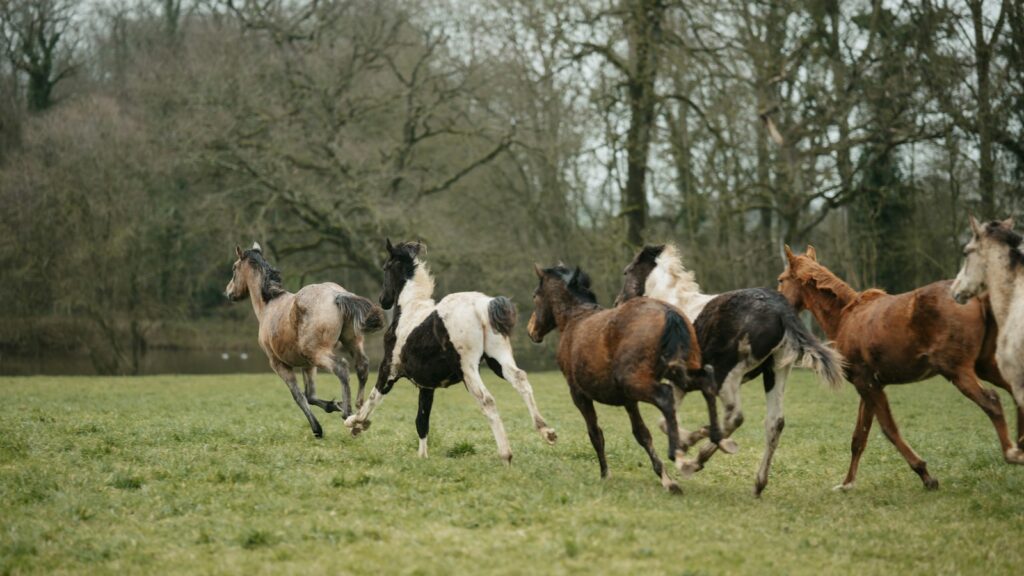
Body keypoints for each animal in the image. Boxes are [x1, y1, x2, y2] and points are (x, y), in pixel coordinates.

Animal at [225, 242, 384, 438]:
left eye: (234, 268)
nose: (229, 292)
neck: (269, 305)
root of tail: (336, 295)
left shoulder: (278, 364)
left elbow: (299, 396)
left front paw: (317, 428)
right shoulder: (308, 365)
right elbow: (310, 395)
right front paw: (333, 405)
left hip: (318, 353)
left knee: (341, 368)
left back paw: (348, 414)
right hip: (351, 342)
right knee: (362, 367)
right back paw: (359, 412)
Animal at [344, 239, 556, 463]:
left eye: (386, 267)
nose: (383, 299)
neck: (410, 310)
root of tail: (482, 306)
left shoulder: (389, 370)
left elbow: (373, 397)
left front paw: (354, 423)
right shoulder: (426, 385)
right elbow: (422, 421)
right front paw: (422, 458)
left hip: (468, 369)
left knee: (487, 399)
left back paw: (506, 454)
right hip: (498, 360)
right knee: (520, 379)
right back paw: (547, 431)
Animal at [527, 263, 731, 494]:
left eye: (535, 295)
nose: (531, 330)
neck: (574, 318)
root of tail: (669, 312)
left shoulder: (579, 394)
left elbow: (596, 434)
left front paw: (605, 475)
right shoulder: (628, 400)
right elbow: (642, 434)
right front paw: (665, 478)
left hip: (637, 382)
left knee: (666, 396)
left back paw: (679, 453)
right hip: (680, 373)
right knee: (707, 382)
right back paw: (717, 437)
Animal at [615, 244, 844, 496]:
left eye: (626, 272)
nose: (617, 304)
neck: (674, 301)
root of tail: (782, 311)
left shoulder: (679, 382)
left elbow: (665, 422)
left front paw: (685, 447)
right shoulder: (682, 384)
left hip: (726, 373)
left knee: (735, 416)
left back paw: (701, 457)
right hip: (777, 370)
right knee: (774, 422)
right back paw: (757, 483)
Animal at [778, 245, 1024, 491]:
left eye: (781, 280)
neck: (844, 317)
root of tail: (978, 298)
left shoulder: (866, 384)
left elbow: (888, 429)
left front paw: (926, 475)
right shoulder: (869, 385)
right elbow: (859, 437)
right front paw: (847, 484)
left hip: (957, 370)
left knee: (992, 401)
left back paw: (1012, 453)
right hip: (986, 365)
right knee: (1015, 392)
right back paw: (1020, 447)